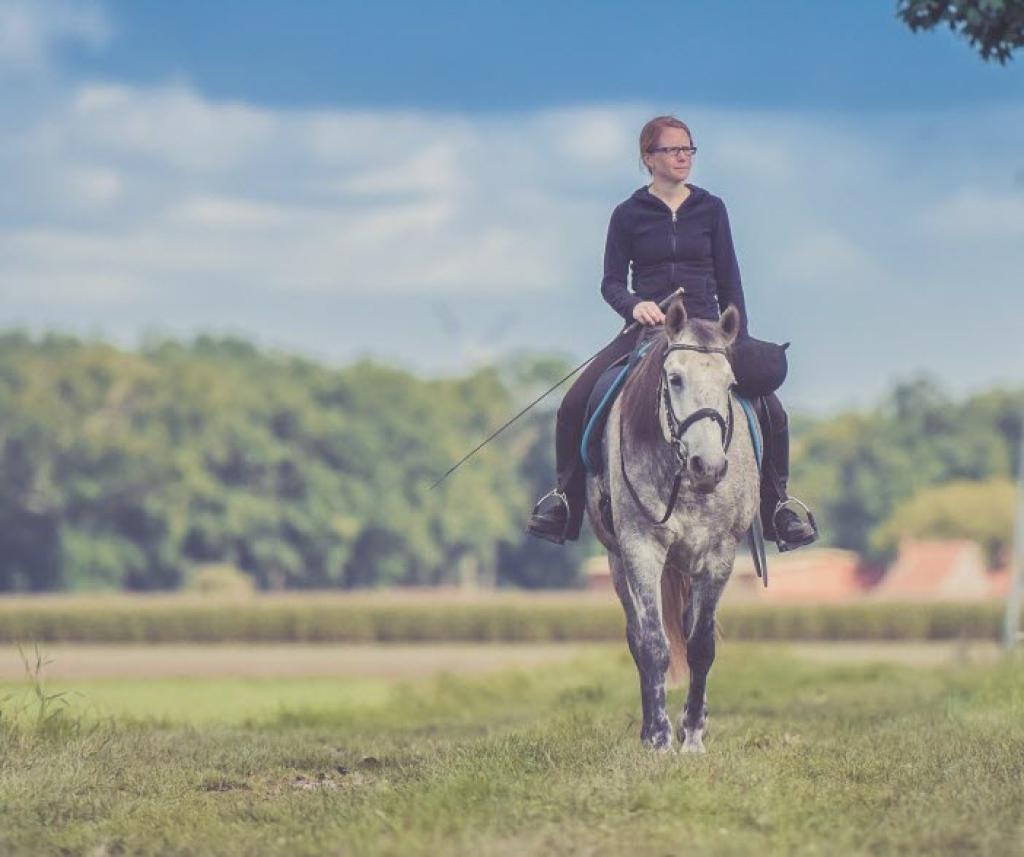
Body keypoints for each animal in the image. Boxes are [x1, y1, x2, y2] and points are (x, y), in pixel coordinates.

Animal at [585, 296, 761, 753]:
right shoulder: (640, 548)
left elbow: (701, 645)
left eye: (731, 384)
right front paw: (660, 739)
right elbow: (653, 643)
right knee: (636, 635)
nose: (709, 466)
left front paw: (693, 736)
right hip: (617, 562)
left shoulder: (719, 555)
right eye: (676, 379)